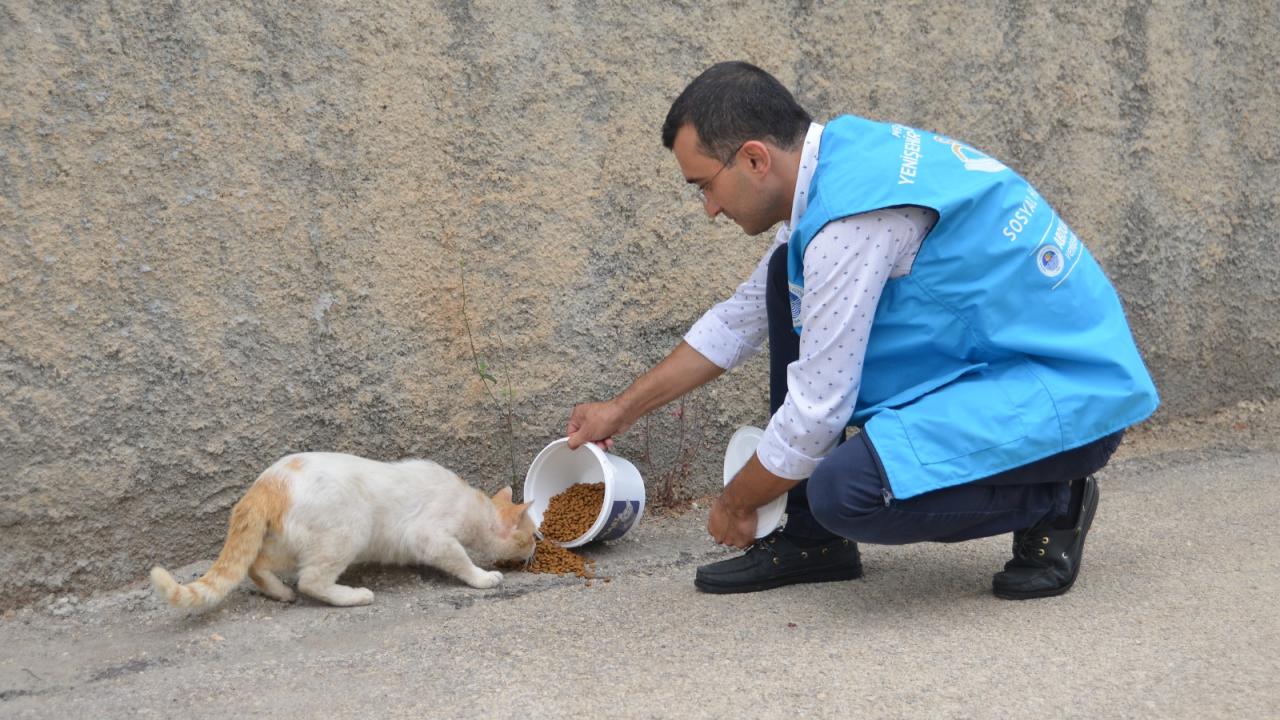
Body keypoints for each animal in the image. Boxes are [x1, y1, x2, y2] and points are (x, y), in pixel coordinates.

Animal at [149, 450, 535, 607]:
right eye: (533, 536)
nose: (535, 550)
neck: (475, 505)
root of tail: (266, 483)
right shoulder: (430, 537)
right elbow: (461, 560)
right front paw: (483, 577)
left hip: (290, 543)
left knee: (256, 565)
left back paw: (280, 593)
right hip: (347, 531)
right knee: (311, 581)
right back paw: (353, 596)